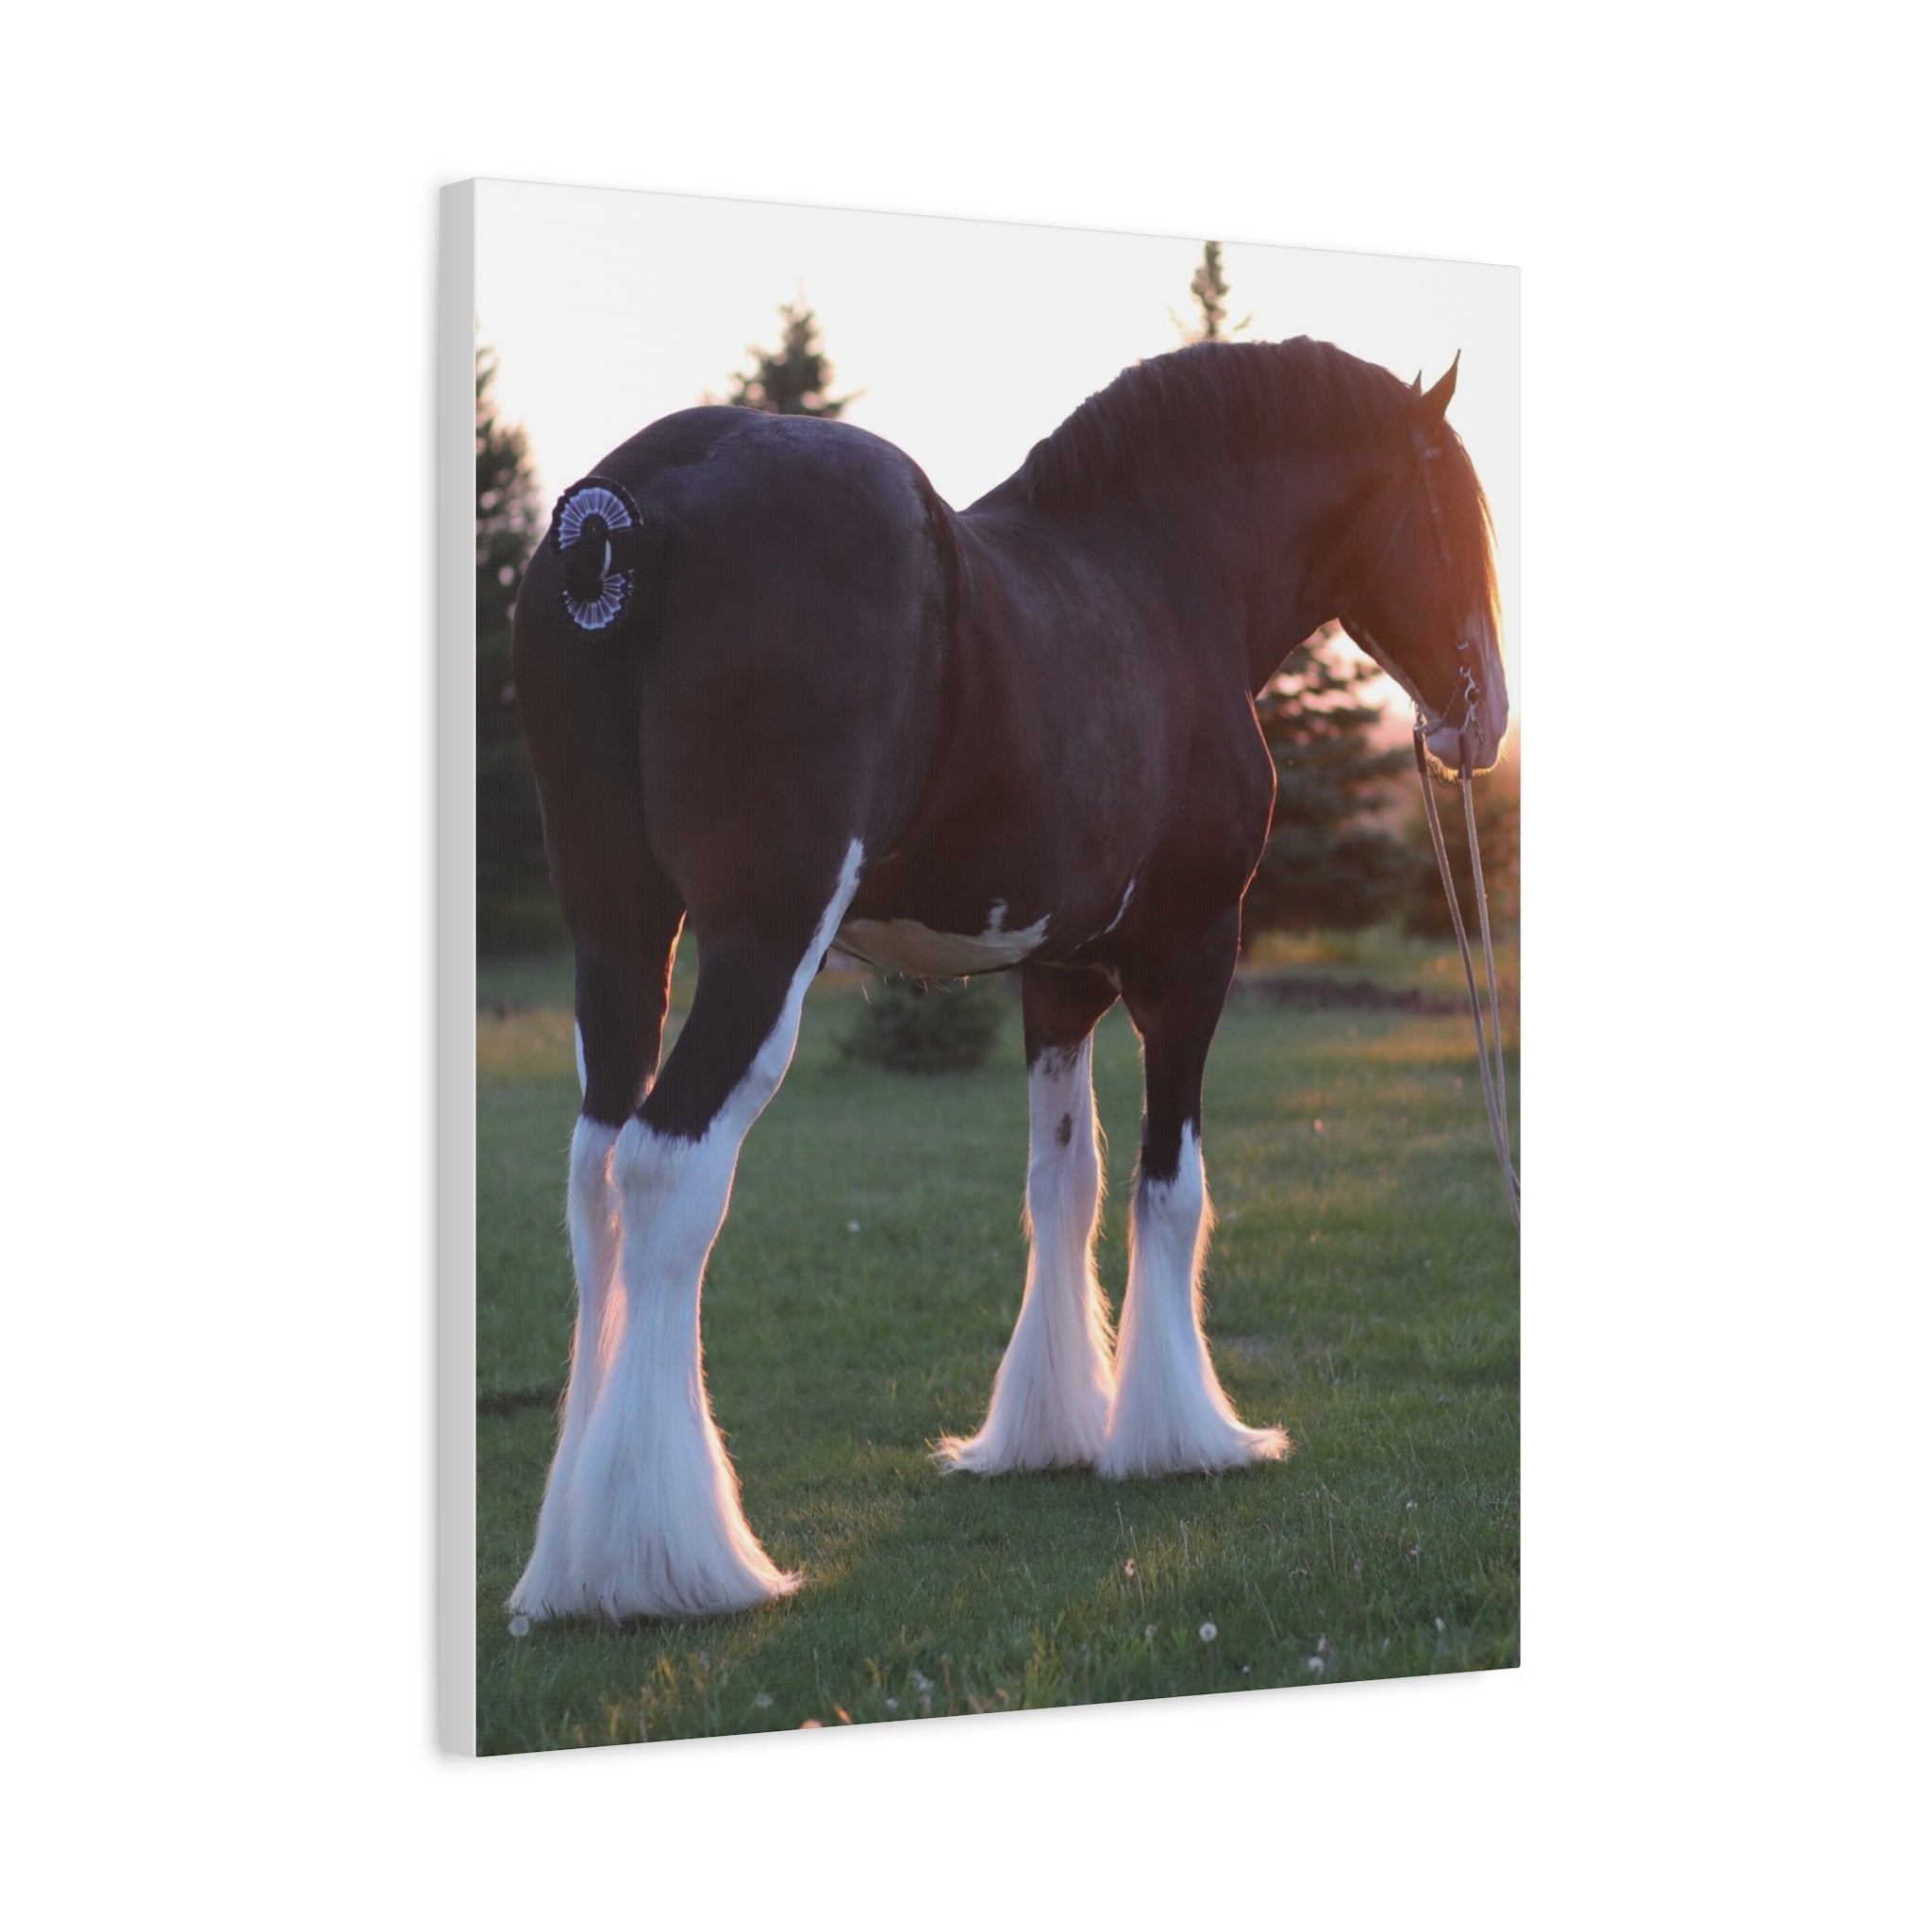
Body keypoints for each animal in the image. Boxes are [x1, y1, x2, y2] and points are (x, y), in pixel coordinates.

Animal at [504, 335, 1507, 1622]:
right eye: (1456, 509)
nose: (1482, 719)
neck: (1157, 575)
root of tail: (622, 511)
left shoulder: (1057, 977)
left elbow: (1061, 1186)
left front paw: (1048, 1428)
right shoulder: (1193, 955)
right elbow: (1169, 1187)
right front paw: (1180, 1435)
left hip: (621, 931)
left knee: (593, 1176)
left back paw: (568, 1562)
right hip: (759, 940)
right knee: (668, 1168)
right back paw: (670, 1561)